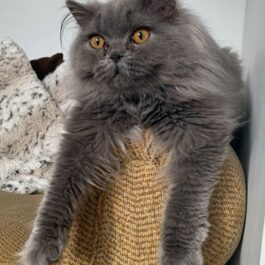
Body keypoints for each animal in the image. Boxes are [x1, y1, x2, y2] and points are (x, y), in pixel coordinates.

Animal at [19, 0, 244, 264]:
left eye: (139, 35)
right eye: (97, 41)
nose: (115, 55)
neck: (137, 103)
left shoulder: (200, 131)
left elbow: (184, 202)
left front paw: (178, 256)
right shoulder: (82, 133)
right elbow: (58, 190)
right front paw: (39, 249)